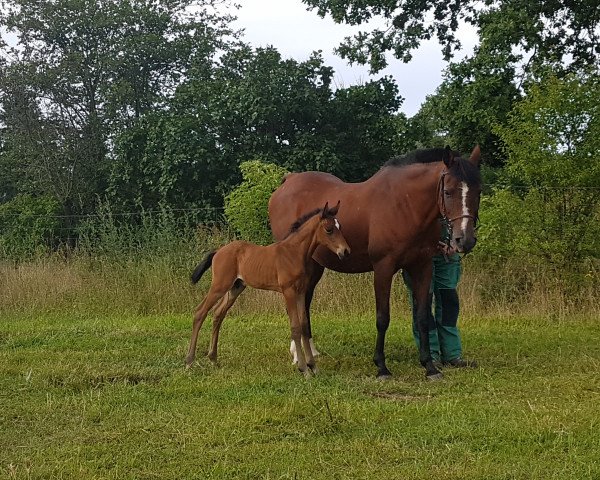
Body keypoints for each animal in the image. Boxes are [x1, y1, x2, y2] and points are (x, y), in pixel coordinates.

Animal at [185, 201, 350, 374]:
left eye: (340, 226)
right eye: (329, 229)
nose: (345, 251)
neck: (294, 253)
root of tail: (218, 251)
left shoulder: (301, 292)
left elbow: (305, 325)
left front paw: (313, 366)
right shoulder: (288, 291)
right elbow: (295, 327)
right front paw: (303, 368)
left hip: (235, 287)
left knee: (218, 313)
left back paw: (213, 359)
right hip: (219, 285)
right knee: (200, 312)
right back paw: (189, 361)